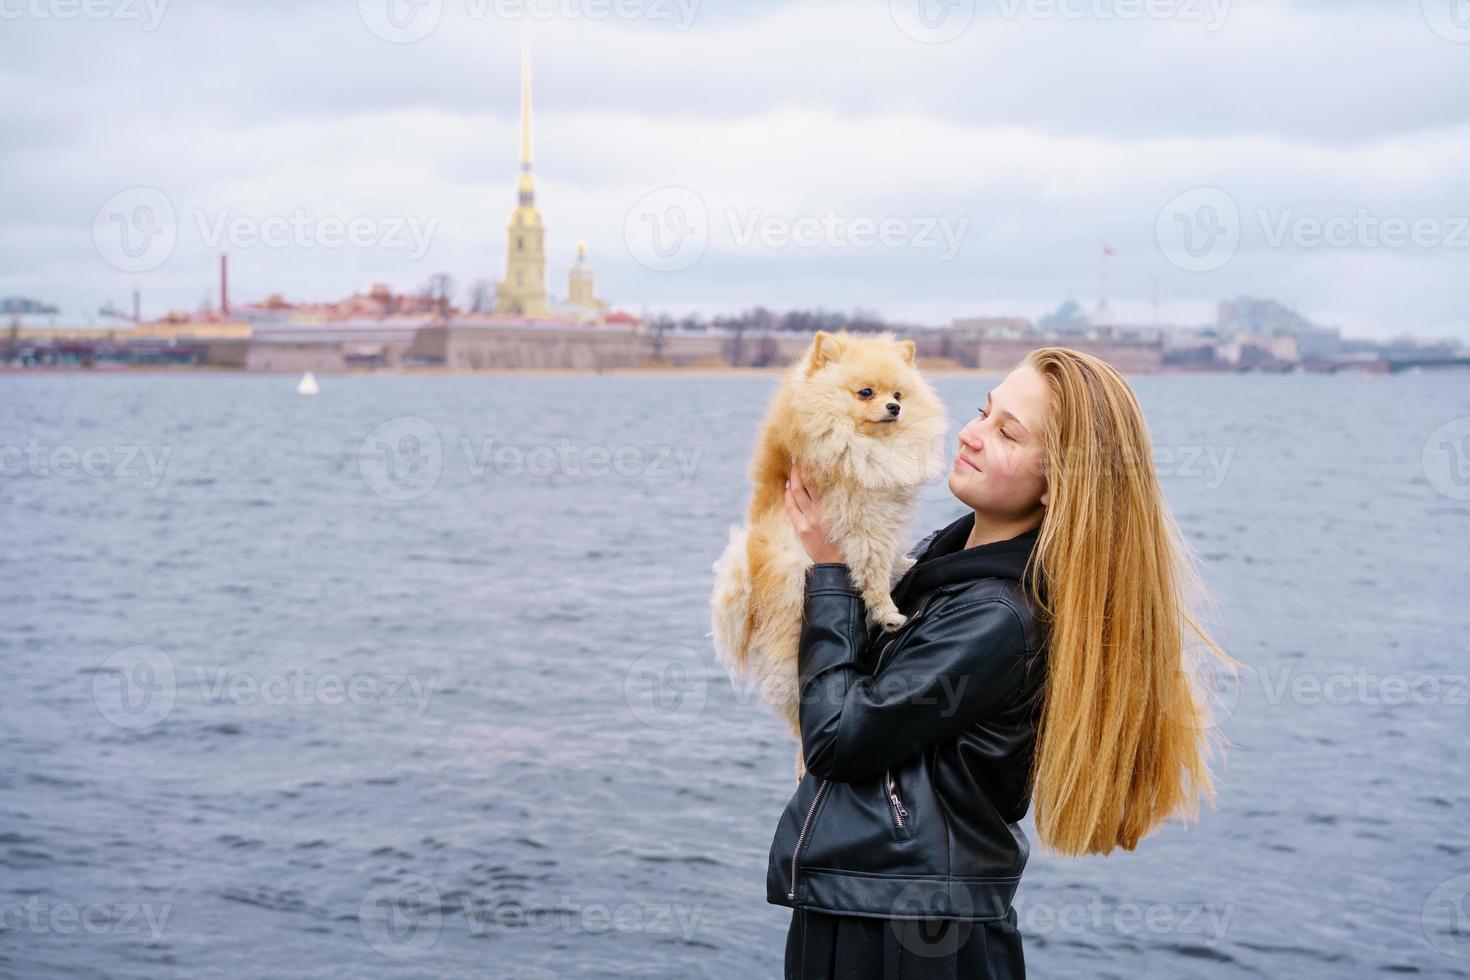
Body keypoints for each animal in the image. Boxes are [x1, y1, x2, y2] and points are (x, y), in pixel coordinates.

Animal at [708, 333, 940, 775]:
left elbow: (889, 557)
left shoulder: (881, 517)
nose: (894, 408)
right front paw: (889, 612)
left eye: (898, 394)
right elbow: (873, 570)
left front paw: (906, 564)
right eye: (866, 393)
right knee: (801, 719)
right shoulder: (861, 521)